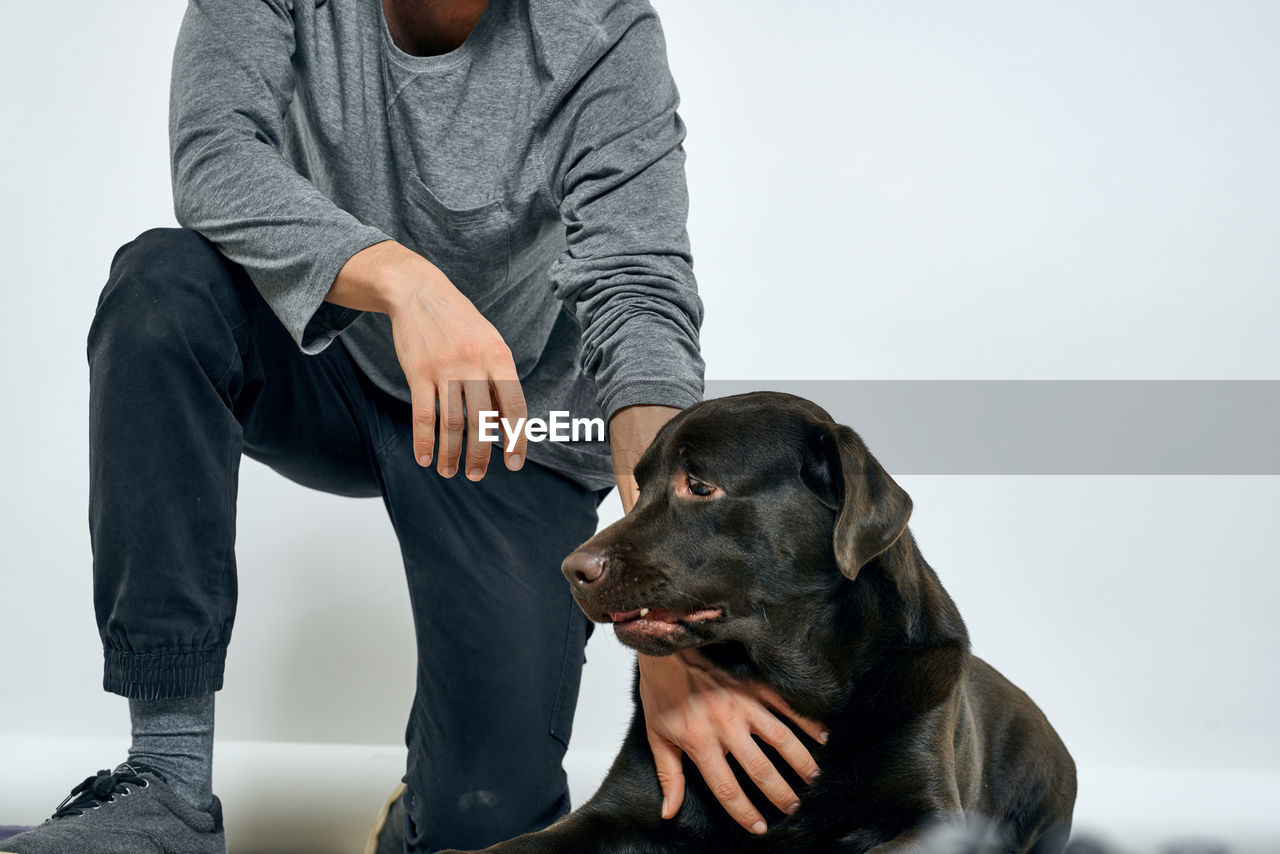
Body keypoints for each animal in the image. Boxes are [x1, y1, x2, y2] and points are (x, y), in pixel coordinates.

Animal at [445, 394, 1075, 854]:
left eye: (699, 485)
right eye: (641, 485)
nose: (571, 570)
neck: (800, 684)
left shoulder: (929, 817)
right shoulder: (625, 806)